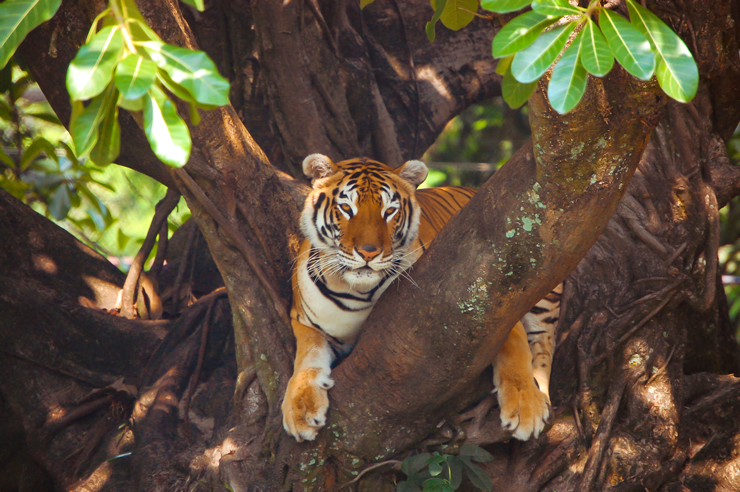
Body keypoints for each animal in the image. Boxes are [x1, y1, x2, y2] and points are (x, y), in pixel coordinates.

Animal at [284, 154, 560, 442]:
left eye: (389, 212)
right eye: (347, 208)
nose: (369, 252)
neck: (358, 291)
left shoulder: (488, 298)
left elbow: (515, 345)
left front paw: (526, 406)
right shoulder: (304, 321)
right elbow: (308, 356)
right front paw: (300, 410)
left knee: (543, 346)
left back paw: (540, 393)